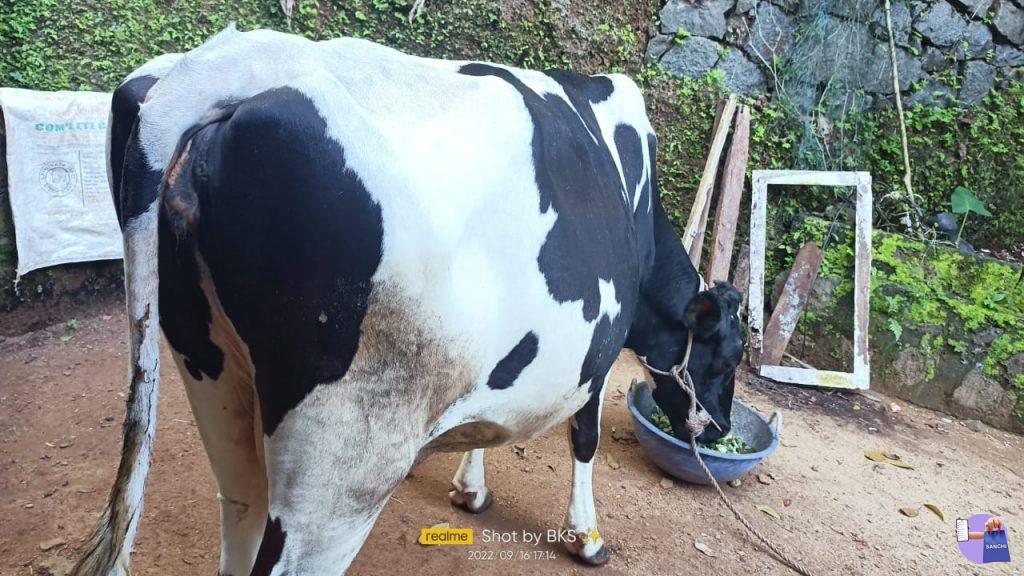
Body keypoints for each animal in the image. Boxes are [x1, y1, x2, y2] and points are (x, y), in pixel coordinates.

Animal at [73, 25, 743, 576]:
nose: (721, 430)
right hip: (345, 458)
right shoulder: (596, 352)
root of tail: (226, 63)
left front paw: (470, 490)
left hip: (217, 388)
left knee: (238, 518)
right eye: (729, 355)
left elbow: (488, 426)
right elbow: (586, 436)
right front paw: (587, 537)